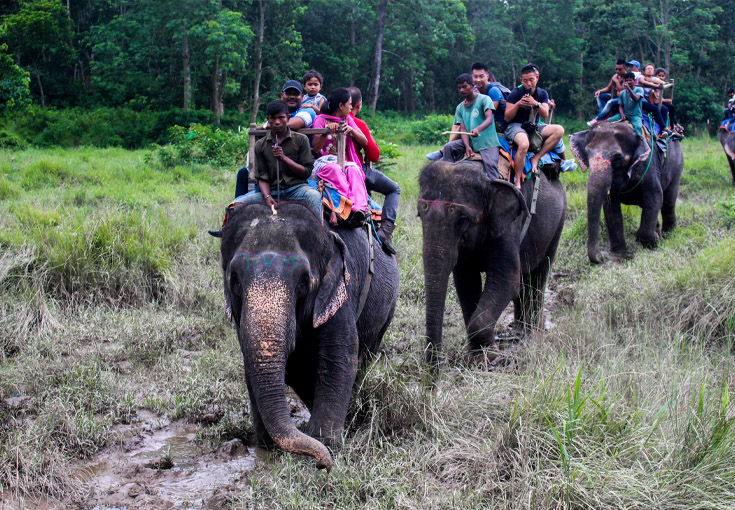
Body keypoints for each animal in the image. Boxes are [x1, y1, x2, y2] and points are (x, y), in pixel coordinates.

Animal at [217, 202, 399, 470]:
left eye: (304, 281)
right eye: (235, 280)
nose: (323, 464)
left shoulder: (339, 290)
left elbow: (339, 359)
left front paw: (326, 443)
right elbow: (262, 365)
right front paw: (267, 445)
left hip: (387, 308)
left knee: (366, 356)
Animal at [418, 161, 567, 370]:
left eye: (463, 219)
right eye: (419, 214)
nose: (434, 374)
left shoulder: (509, 226)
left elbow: (507, 279)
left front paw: (489, 358)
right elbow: (466, 283)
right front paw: (476, 354)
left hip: (558, 224)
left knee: (539, 274)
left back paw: (532, 332)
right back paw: (518, 331)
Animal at [569, 122, 684, 264]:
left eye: (617, 158)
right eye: (587, 153)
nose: (601, 258)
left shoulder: (648, 164)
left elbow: (655, 196)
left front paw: (654, 240)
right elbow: (611, 207)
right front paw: (618, 257)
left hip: (678, 164)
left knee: (669, 201)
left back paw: (668, 235)